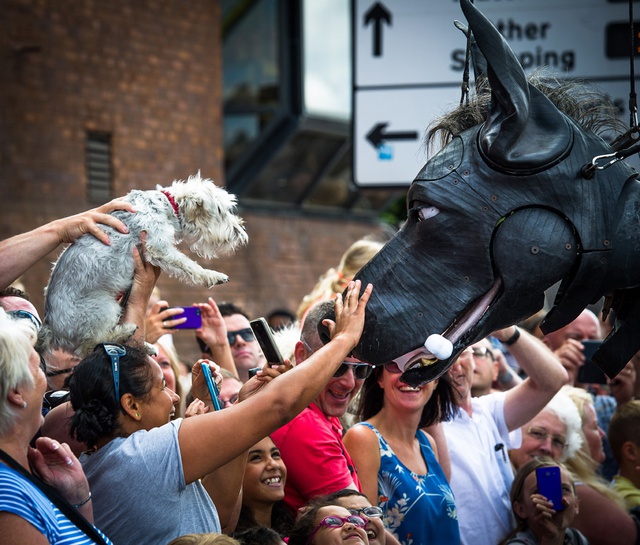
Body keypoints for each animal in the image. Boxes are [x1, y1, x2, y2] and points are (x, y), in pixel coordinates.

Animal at [41, 172, 249, 354]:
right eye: (221, 211)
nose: (240, 232)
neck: (168, 206)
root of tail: (50, 328)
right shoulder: (159, 247)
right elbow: (188, 264)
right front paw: (213, 276)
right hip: (104, 309)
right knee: (88, 346)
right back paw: (124, 333)